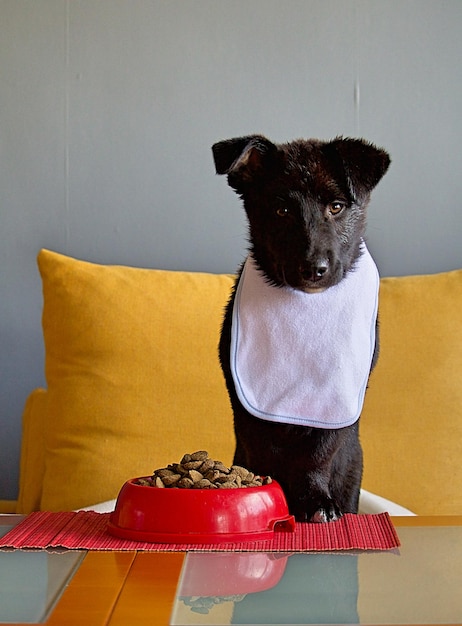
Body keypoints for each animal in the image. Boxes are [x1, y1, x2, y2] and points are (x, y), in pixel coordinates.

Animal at [213, 134, 390, 520]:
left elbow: (318, 455)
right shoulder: (243, 402)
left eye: (336, 207)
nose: (314, 269)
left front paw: (316, 501)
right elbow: (262, 447)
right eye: (281, 211)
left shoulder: (339, 409)